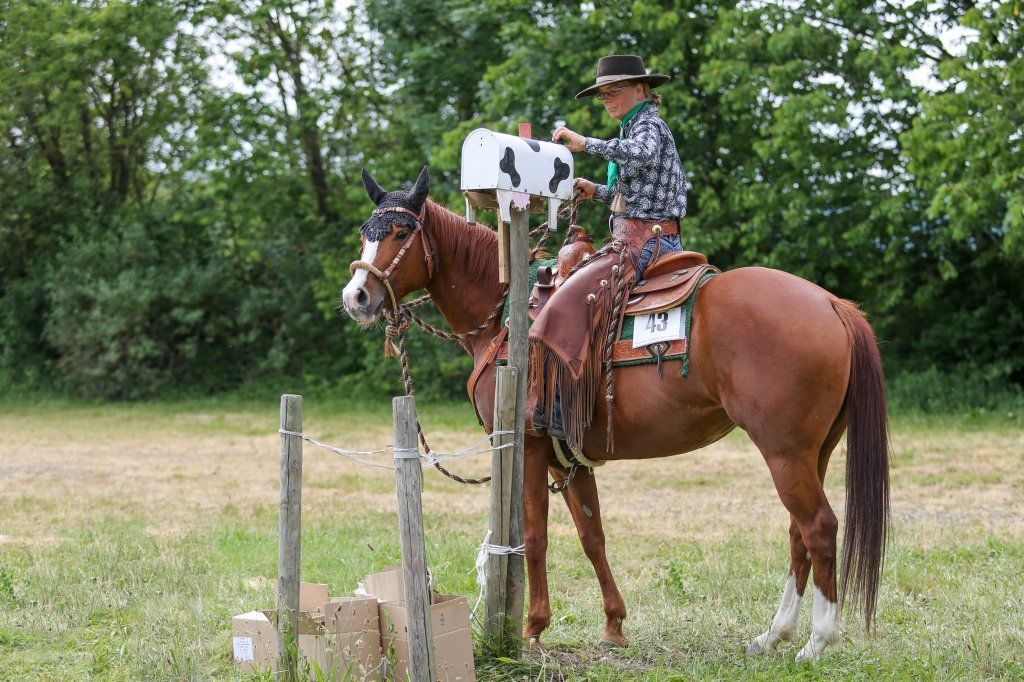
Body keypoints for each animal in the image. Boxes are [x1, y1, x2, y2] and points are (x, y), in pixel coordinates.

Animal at [340, 166, 889, 662]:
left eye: (401, 231)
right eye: (366, 232)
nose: (356, 296)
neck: (503, 315)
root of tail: (832, 303)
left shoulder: (528, 447)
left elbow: (534, 538)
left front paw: (532, 629)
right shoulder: (568, 456)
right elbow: (593, 536)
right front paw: (614, 625)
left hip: (784, 452)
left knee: (819, 528)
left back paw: (817, 642)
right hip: (812, 452)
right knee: (799, 535)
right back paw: (773, 636)